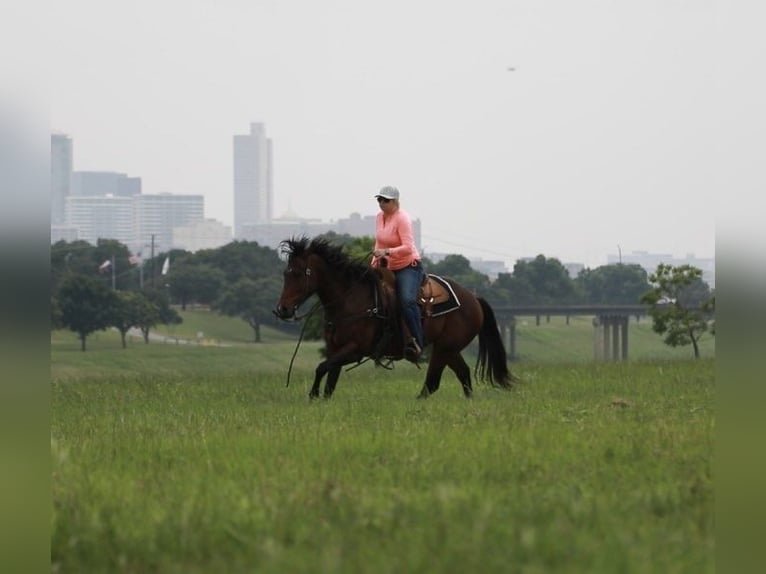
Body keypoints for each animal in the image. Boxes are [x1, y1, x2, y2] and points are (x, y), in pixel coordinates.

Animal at [273, 236, 517, 399]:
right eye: (285, 273)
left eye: (298, 273)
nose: (282, 310)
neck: (350, 299)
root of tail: (473, 298)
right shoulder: (336, 349)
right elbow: (330, 378)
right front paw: (321, 399)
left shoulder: (355, 350)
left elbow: (321, 367)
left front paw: (312, 396)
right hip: (449, 349)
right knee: (463, 374)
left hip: (444, 348)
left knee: (433, 382)